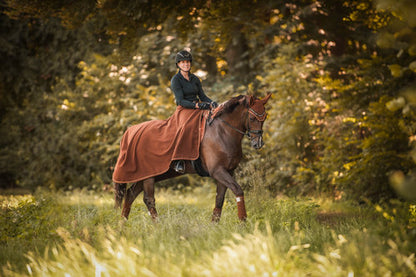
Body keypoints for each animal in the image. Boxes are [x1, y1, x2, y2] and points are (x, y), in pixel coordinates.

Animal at [112, 94, 272, 221]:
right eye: (252, 117)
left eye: (264, 117)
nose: (258, 143)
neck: (223, 132)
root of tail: (131, 131)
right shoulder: (218, 171)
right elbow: (238, 190)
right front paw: (243, 221)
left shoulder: (228, 171)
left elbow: (219, 199)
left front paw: (214, 225)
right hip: (148, 176)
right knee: (148, 199)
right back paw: (158, 226)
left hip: (145, 174)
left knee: (130, 195)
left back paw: (122, 224)